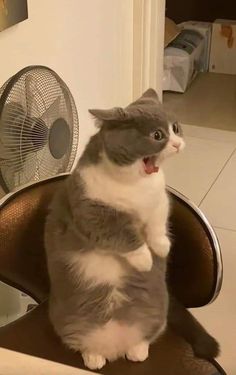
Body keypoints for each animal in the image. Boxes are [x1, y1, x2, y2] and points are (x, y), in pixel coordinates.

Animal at [44, 89, 219, 372]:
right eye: (157, 135)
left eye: (175, 128)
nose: (177, 143)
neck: (136, 186)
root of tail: (115, 346)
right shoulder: (91, 212)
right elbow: (122, 235)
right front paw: (144, 259)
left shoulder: (160, 200)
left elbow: (157, 222)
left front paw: (161, 247)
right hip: (68, 322)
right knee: (86, 345)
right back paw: (94, 358)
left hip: (157, 313)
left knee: (143, 340)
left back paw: (137, 351)